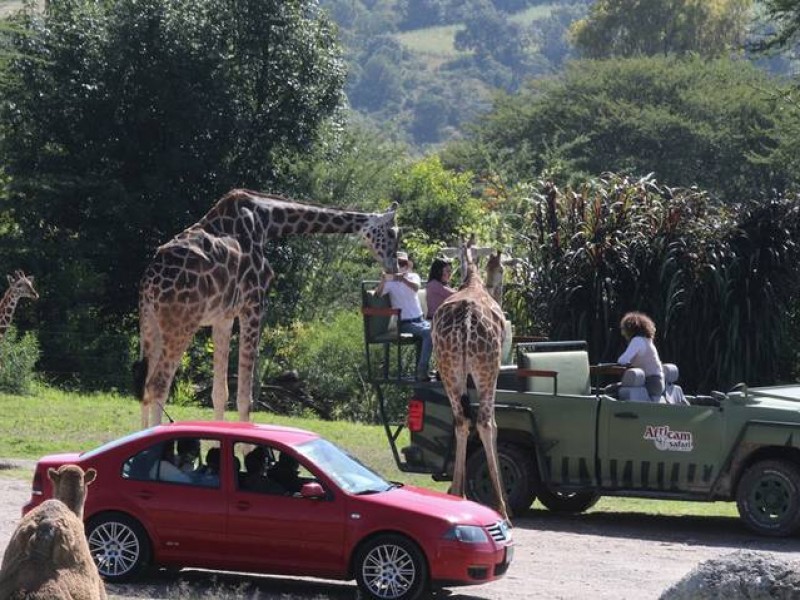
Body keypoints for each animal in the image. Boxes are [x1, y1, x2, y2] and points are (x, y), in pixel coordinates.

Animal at [137, 190, 404, 428]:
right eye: (392, 232)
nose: (393, 266)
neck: (267, 222)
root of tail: (150, 282)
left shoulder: (223, 317)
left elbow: (220, 393)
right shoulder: (254, 306)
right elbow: (245, 399)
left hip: (150, 323)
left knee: (145, 387)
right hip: (182, 322)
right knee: (158, 385)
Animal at [432, 237, 512, 524]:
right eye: (503, 269)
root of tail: (466, 320)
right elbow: (495, 425)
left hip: (448, 369)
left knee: (460, 420)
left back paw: (458, 494)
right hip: (487, 370)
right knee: (486, 422)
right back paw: (502, 509)